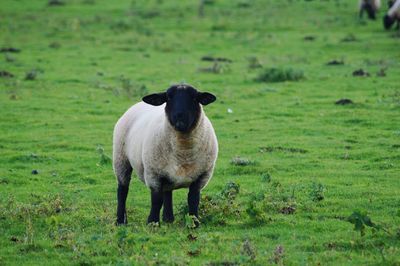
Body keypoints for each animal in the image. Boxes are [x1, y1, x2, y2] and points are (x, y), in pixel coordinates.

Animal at [112, 83, 219, 224]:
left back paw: (168, 218)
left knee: (168, 192)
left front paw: (194, 223)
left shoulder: (202, 176)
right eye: (168, 97)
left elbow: (193, 200)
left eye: (194, 98)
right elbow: (156, 201)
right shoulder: (153, 174)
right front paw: (152, 222)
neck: (184, 153)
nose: (180, 116)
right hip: (121, 158)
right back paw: (120, 220)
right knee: (122, 190)